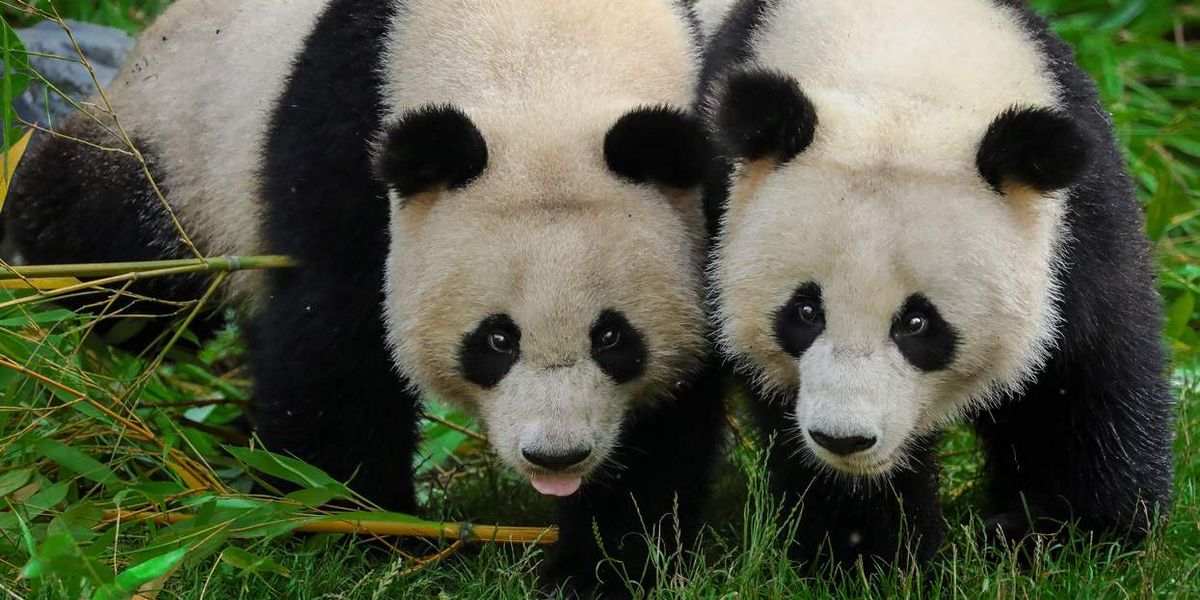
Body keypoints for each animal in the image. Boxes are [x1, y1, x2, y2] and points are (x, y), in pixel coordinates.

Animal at [6, 0, 725, 593]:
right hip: (172, 147)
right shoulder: (348, 139)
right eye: (496, 339)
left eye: (612, 338)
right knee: (117, 263)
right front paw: (360, 530)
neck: (546, 64)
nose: (557, 454)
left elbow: (672, 410)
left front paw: (601, 566)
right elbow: (335, 338)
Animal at [701, 0, 1174, 566]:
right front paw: (868, 550)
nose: (843, 438)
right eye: (805, 312)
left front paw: (1069, 534)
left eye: (917, 322)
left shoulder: (1081, 218)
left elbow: (1083, 374)